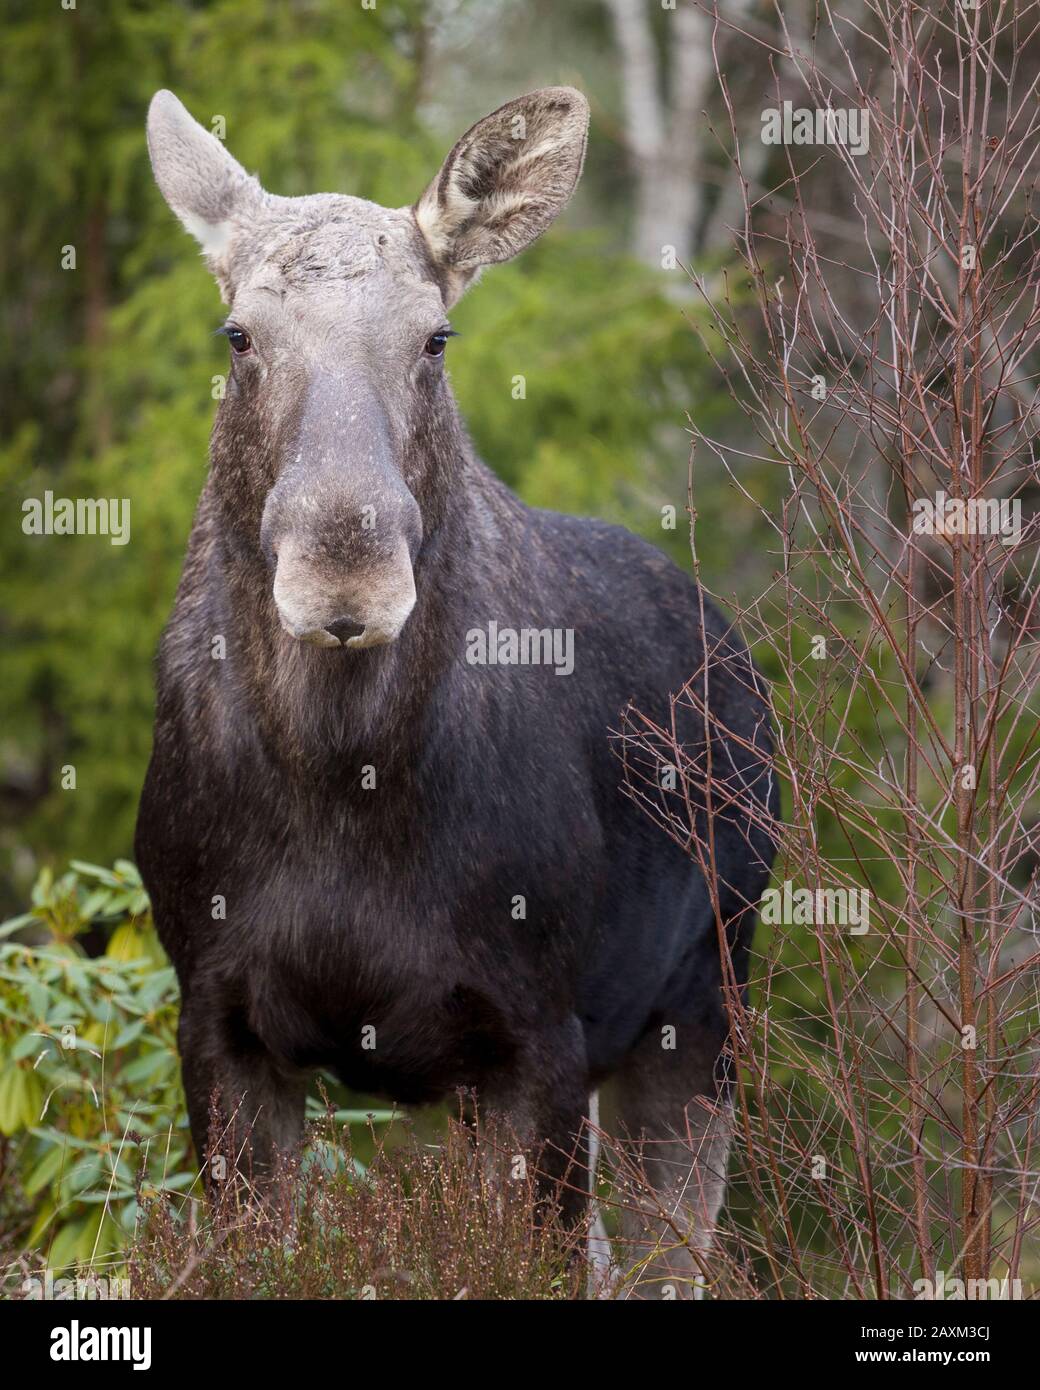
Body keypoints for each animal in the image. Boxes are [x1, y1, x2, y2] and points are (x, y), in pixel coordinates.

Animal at [134, 89, 778, 1301]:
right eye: (238, 334)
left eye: (434, 337)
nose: (345, 570)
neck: (340, 777)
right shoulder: (216, 1015)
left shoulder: (538, 1034)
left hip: (704, 1000)